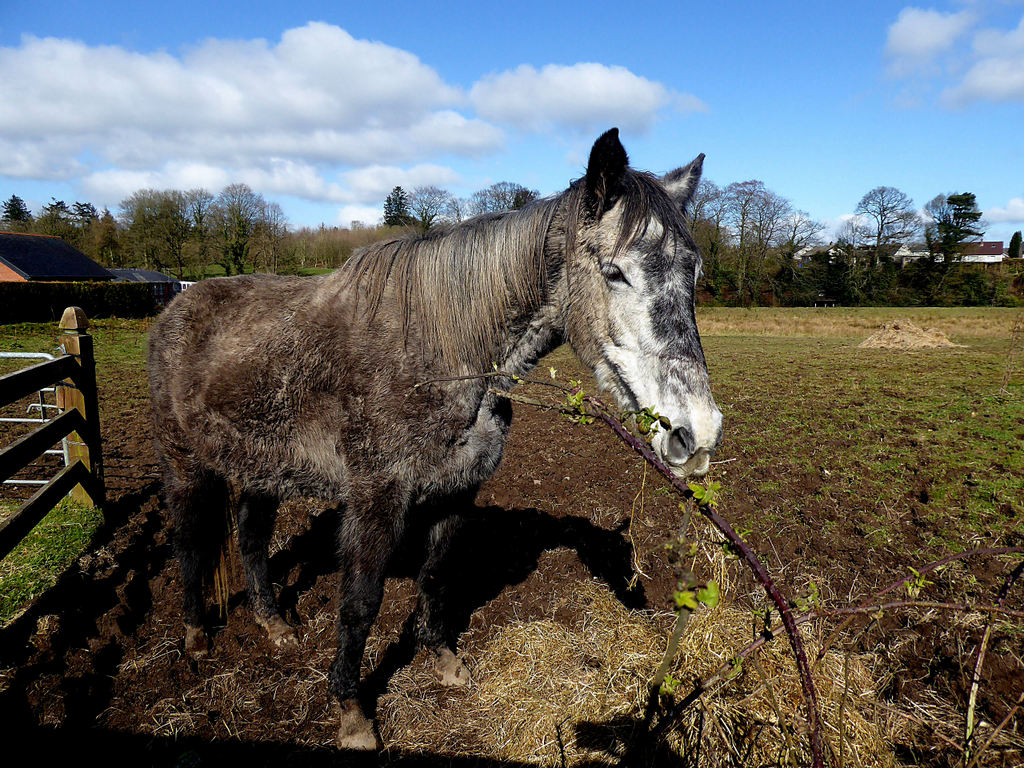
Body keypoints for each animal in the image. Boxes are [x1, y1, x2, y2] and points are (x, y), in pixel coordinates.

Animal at [147, 128, 724, 750]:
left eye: (692, 274)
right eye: (616, 272)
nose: (698, 431)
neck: (441, 356)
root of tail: (176, 306)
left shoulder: (455, 491)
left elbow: (435, 575)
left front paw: (444, 662)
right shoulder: (376, 499)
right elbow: (361, 602)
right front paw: (352, 712)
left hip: (263, 468)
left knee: (251, 538)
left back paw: (274, 625)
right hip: (184, 464)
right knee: (190, 542)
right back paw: (196, 637)